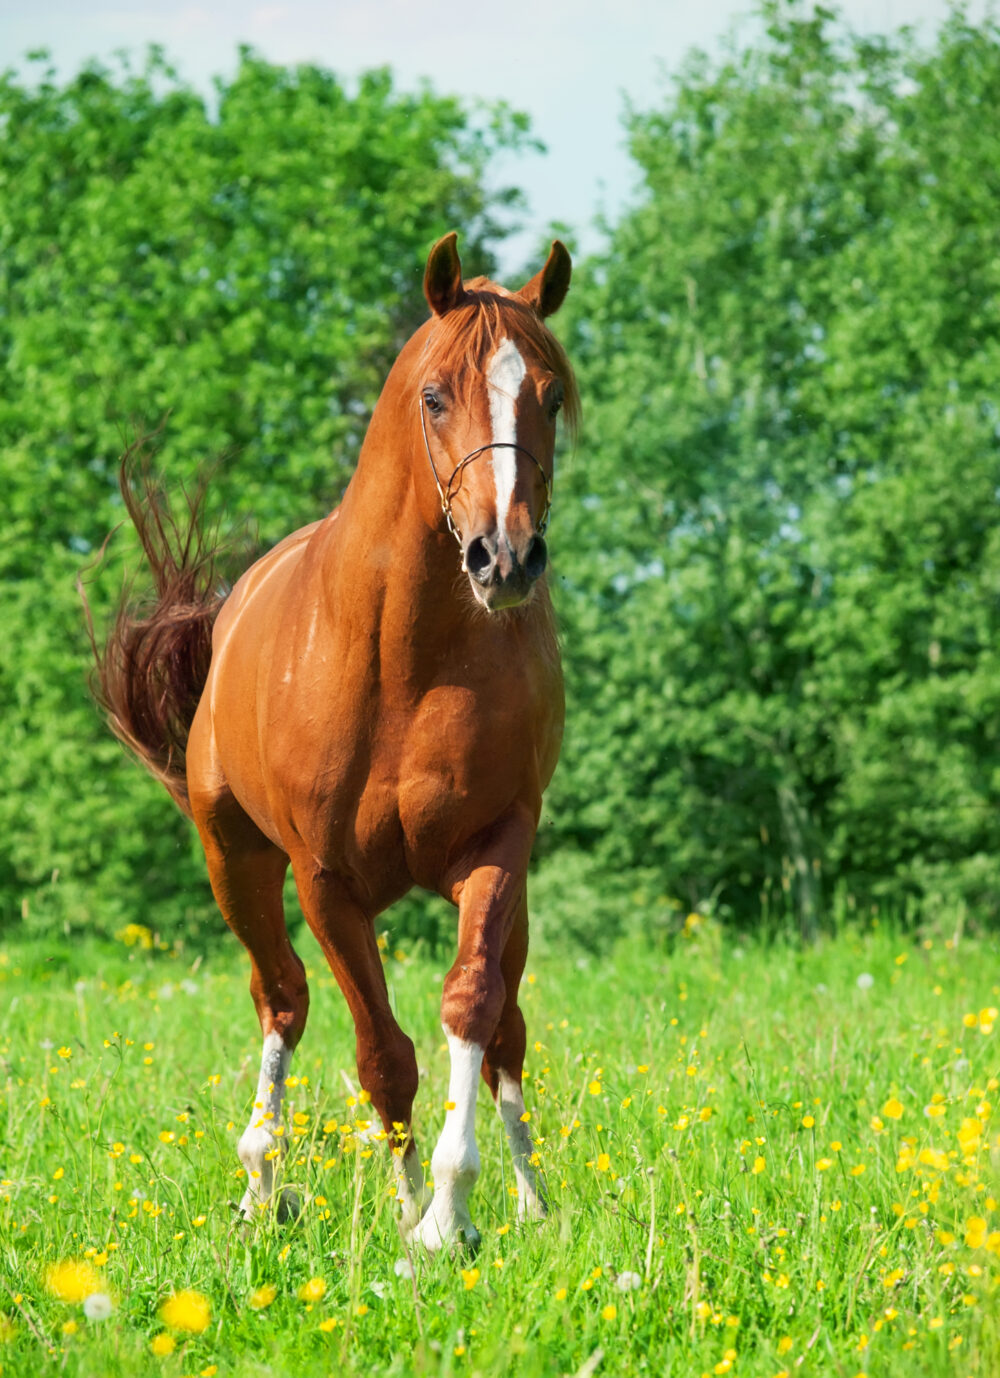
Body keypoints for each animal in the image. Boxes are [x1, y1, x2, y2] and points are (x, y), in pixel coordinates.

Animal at [91, 232, 579, 1250]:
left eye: (550, 394)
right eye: (435, 395)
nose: (505, 559)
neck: (407, 655)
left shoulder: (498, 850)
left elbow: (472, 1007)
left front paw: (449, 1209)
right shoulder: (324, 880)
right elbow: (382, 1053)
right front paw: (413, 1212)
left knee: (507, 1030)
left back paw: (530, 1200)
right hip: (236, 863)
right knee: (282, 998)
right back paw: (260, 1181)